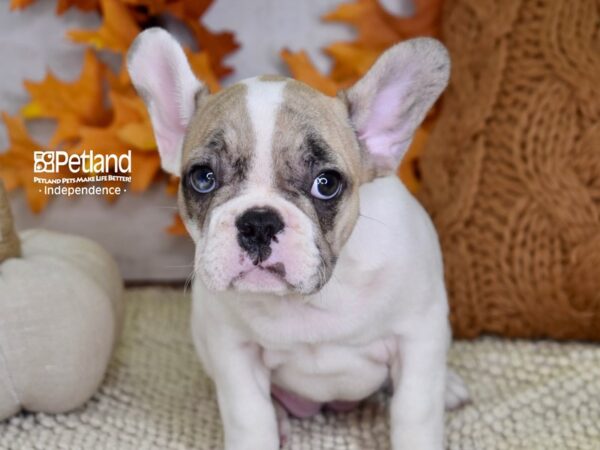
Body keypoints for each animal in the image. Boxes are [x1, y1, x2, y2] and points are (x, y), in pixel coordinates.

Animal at [130, 29, 468, 450]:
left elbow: (414, 411)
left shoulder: (418, 336)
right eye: (202, 178)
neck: (310, 300)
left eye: (326, 183)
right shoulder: (233, 351)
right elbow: (249, 416)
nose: (258, 222)